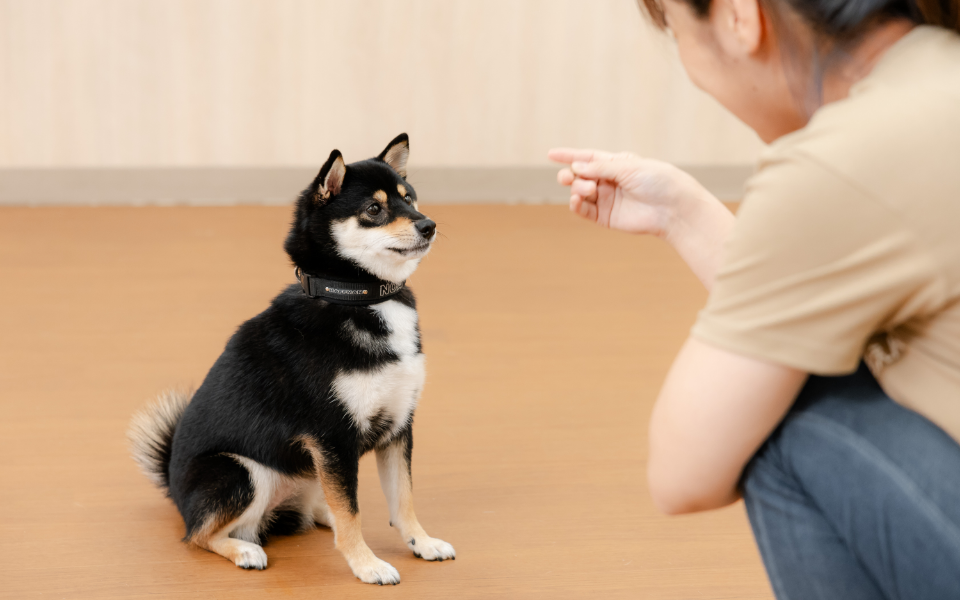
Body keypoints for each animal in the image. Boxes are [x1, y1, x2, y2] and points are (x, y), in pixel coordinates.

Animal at [126, 134, 454, 584]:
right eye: (374, 209)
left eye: (410, 199)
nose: (428, 225)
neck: (356, 298)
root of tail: (176, 494)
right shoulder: (333, 437)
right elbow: (351, 512)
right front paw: (366, 564)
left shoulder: (397, 426)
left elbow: (401, 500)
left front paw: (422, 542)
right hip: (240, 471)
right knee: (198, 535)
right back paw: (244, 549)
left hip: (309, 472)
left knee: (320, 508)